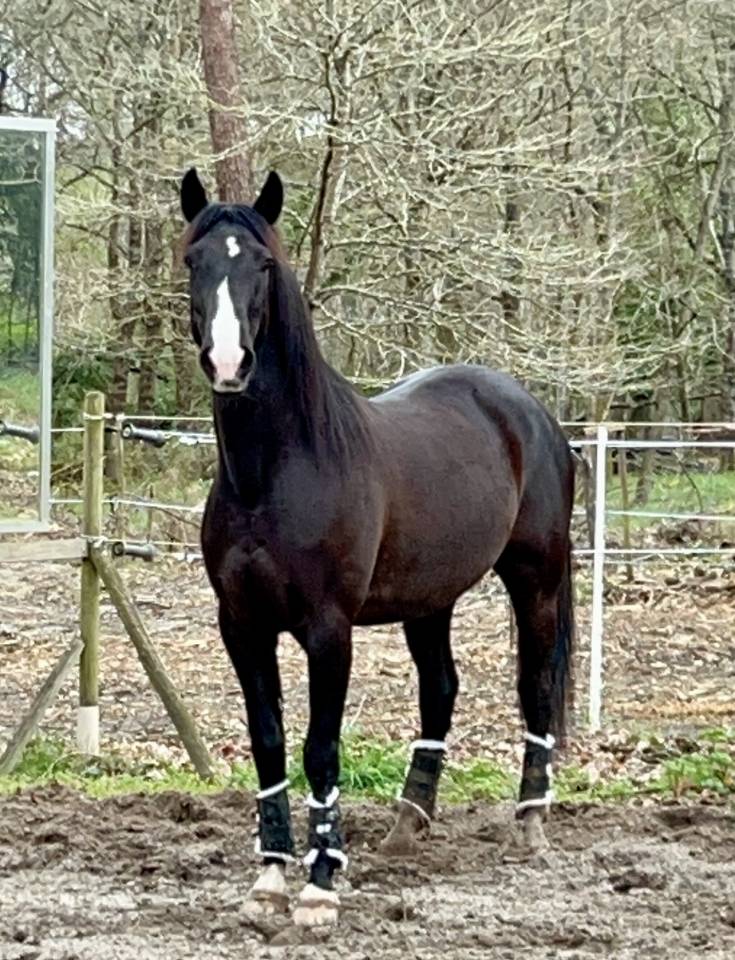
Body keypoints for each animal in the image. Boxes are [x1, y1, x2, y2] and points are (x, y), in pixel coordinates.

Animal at [179, 167, 575, 927]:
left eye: (263, 264)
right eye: (194, 261)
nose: (228, 361)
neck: (275, 471)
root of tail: (529, 410)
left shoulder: (328, 630)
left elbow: (320, 748)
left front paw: (319, 886)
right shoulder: (241, 626)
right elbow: (268, 742)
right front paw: (269, 878)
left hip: (535, 578)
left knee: (536, 687)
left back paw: (531, 823)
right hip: (429, 600)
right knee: (441, 688)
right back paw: (408, 822)